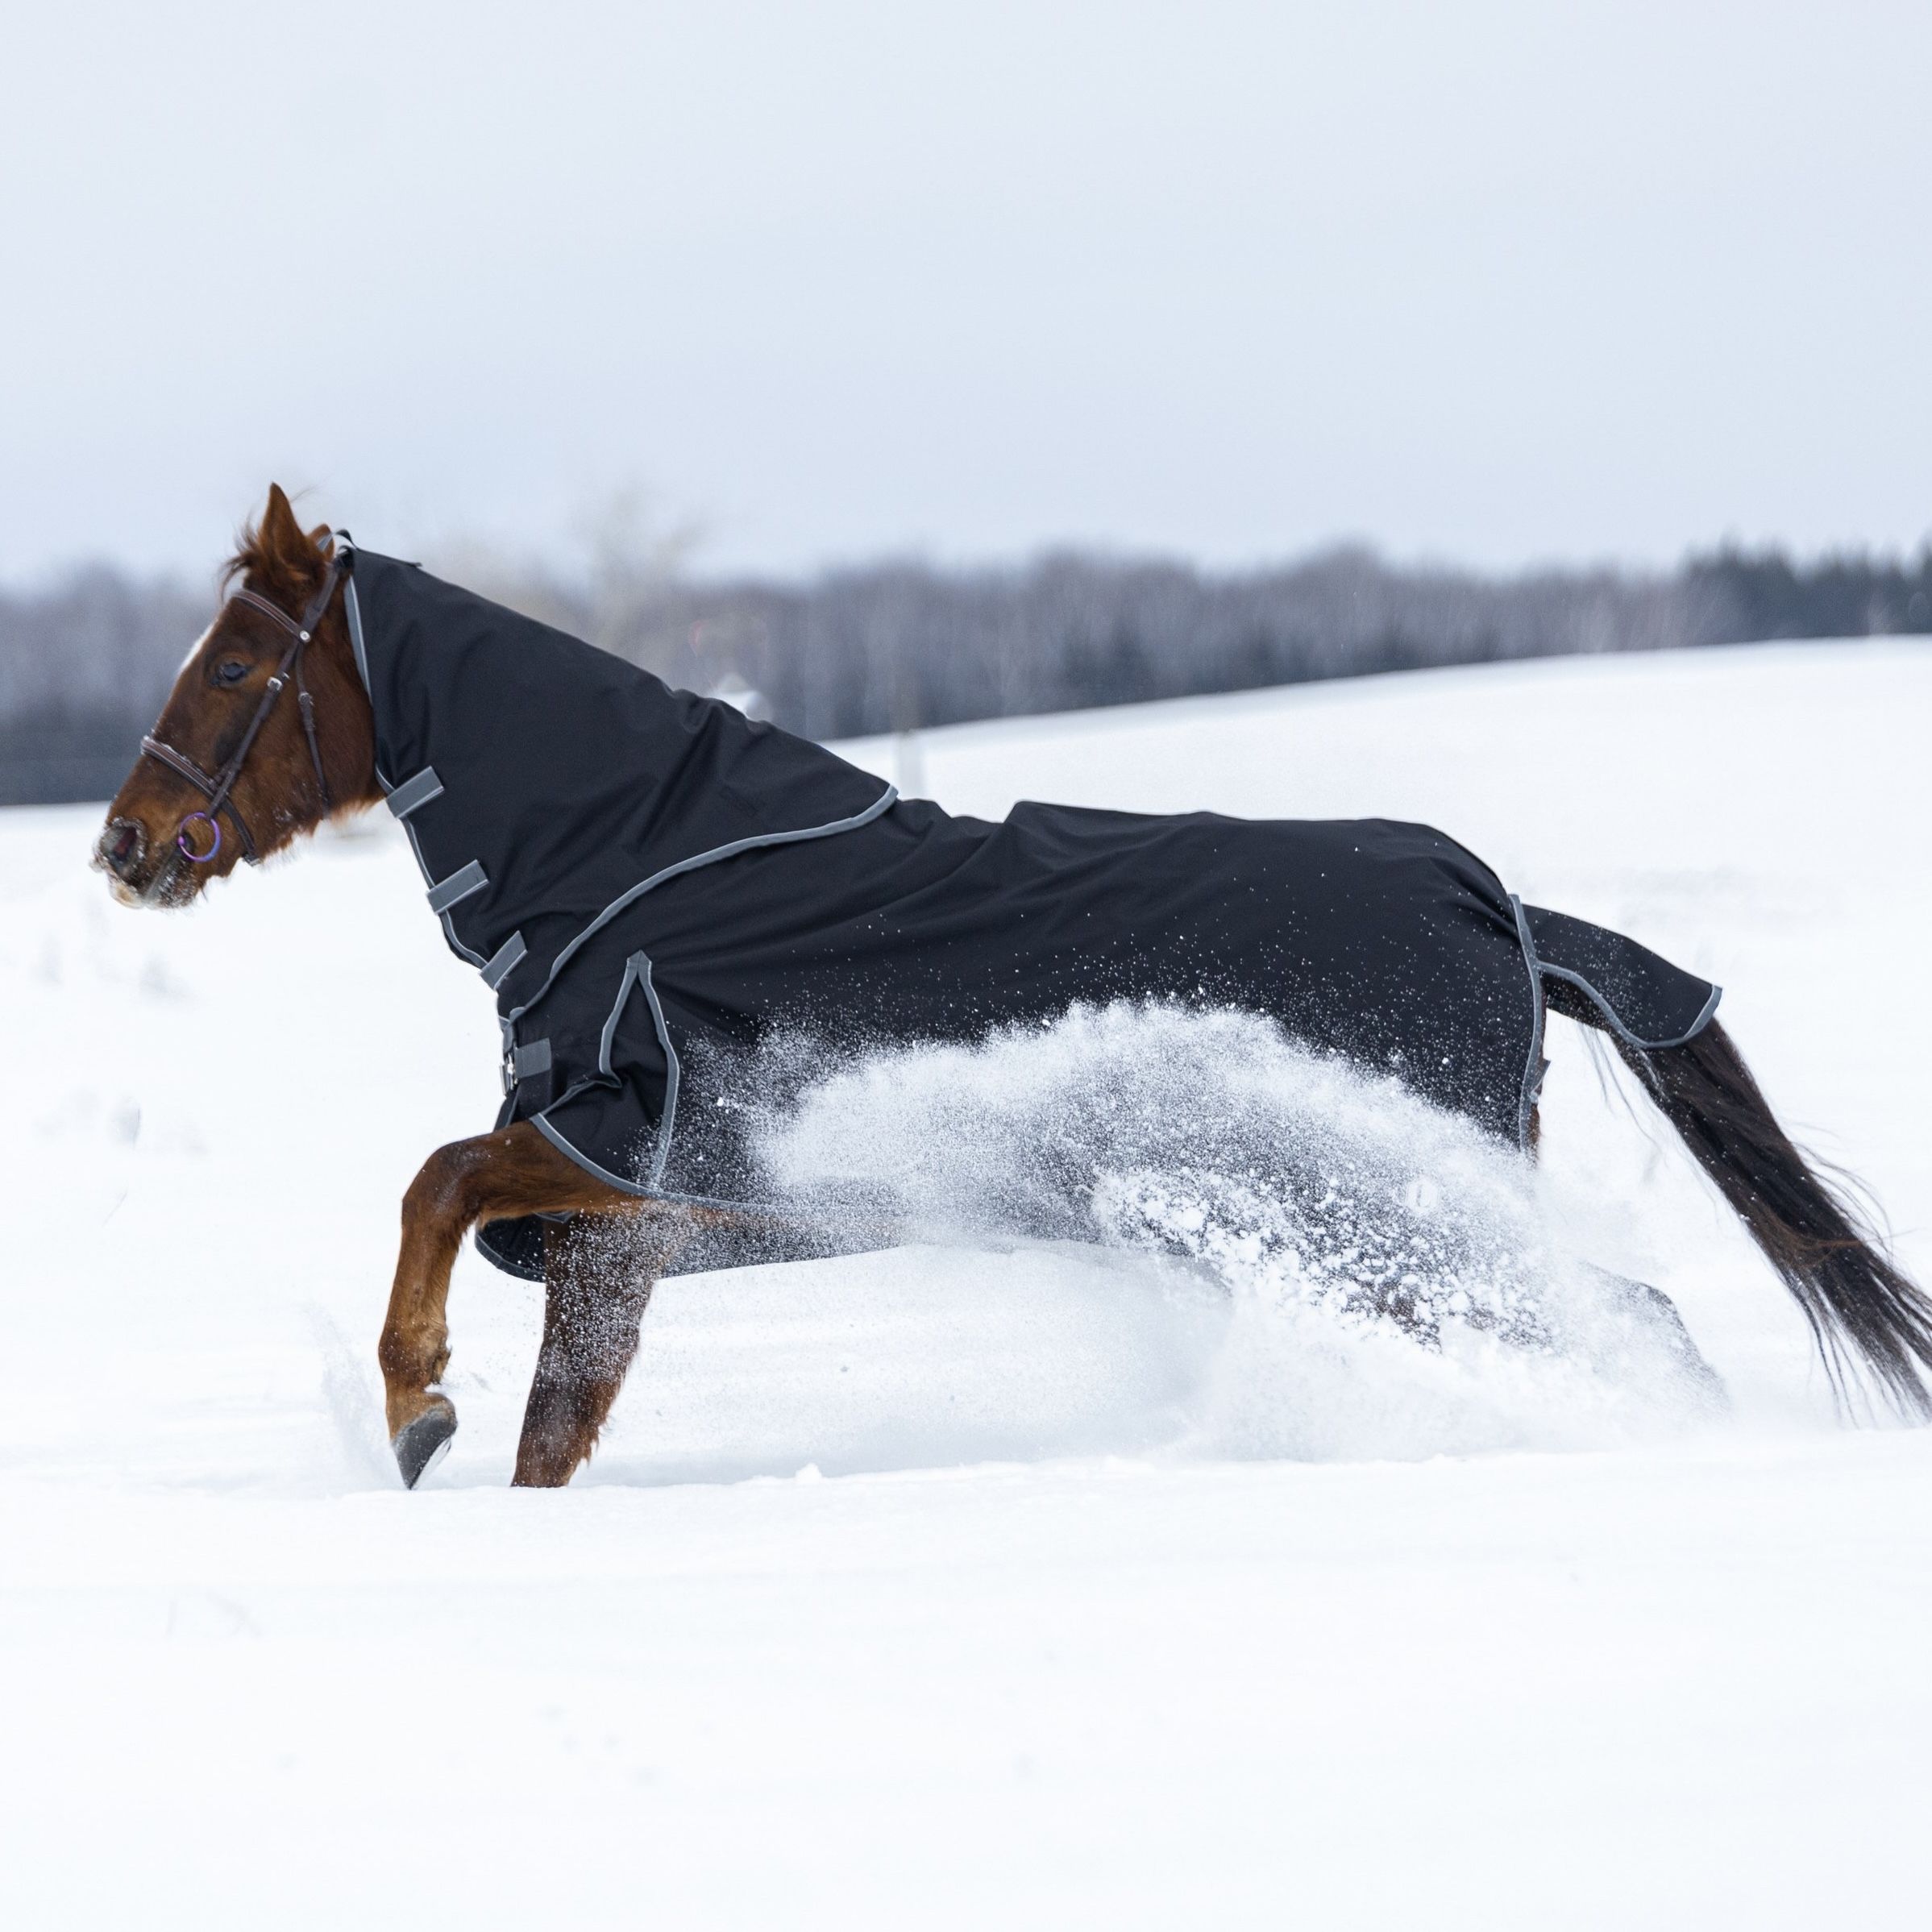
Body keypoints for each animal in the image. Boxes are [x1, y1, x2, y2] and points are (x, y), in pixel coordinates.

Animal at [93, 490, 1932, 1483]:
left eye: (243, 663)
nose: (125, 845)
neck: (639, 860)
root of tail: (1504, 913)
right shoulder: (618, 1237)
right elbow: (551, 1418)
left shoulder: (629, 1160)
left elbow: (434, 1184)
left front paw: (415, 1404)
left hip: (1404, 1211)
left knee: (1628, 1317)